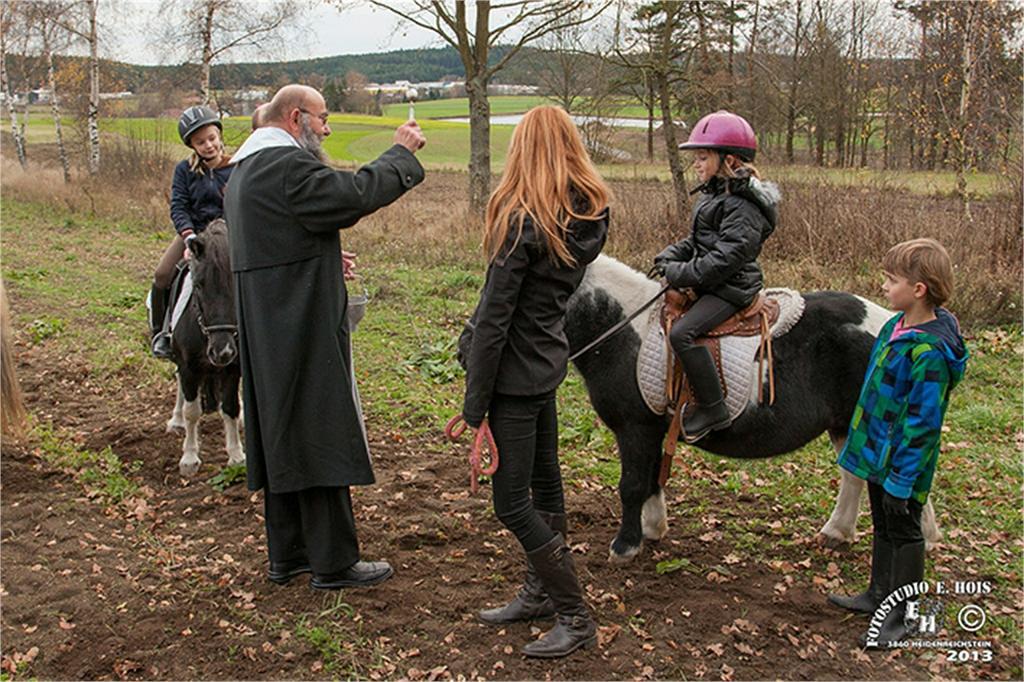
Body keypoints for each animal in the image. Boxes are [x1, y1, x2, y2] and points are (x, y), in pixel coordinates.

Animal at [164, 220, 244, 475]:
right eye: (198, 286)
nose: (222, 352)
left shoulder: (233, 368)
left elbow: (230, 407)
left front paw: (236, 455)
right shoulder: (189, 367)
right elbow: (192, 412)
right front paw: (189, 458)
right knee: (181, 388)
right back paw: (176, 421)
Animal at [565, 251, 937, 561]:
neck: (622, 327)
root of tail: (896, 327)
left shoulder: (635, 428)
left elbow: (631, 486)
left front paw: (625, 546)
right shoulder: (654, 428)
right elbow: (653, 479)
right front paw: (652, 529)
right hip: (846, 423)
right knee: (855, 476)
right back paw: (843, 533)